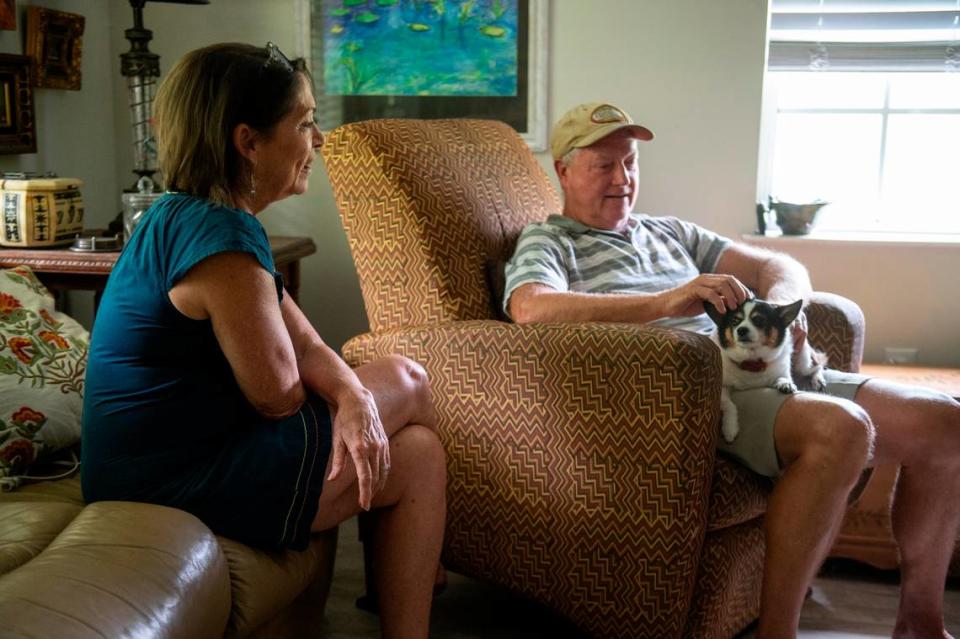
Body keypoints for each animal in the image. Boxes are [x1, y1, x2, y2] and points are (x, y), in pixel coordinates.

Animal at [700, 300, 828, 444]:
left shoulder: (782, 371)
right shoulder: (722, 388)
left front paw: (786, 384)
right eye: (735, 321)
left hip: (802, 363)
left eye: (759, 320)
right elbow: (729, 405)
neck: (752, 362)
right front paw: (730, 428)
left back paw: (818, 380)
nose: (741, 330)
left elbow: (783, 377)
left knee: (818, 366)